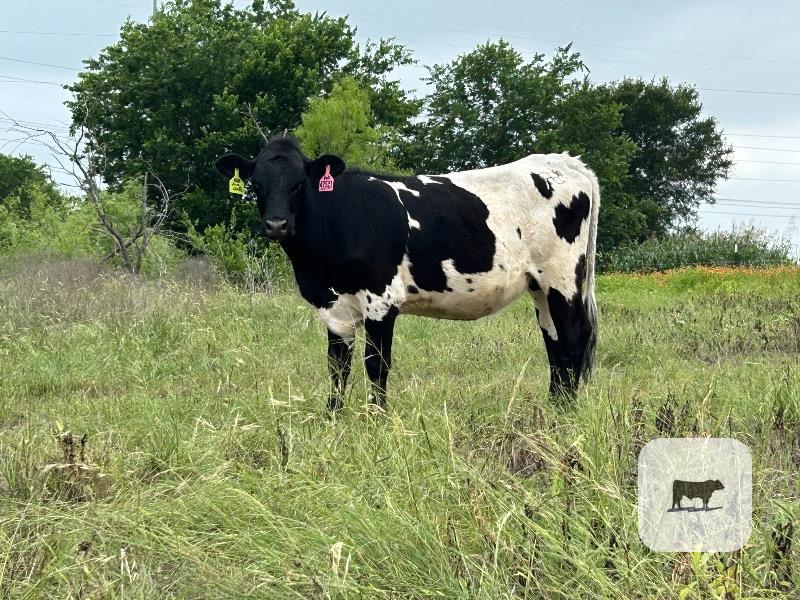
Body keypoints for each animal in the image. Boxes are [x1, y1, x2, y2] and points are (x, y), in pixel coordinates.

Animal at [214, 136, 600, 412]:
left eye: (299, 184)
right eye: (256, 185)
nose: (276, 225)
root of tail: (562, 161)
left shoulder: (381, 298)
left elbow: (376, 364)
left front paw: (376, 419)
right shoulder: (334, 307)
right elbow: (337, 367)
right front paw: (333, 418)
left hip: (562, 278)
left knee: (573, 338)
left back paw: (567, 414)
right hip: (540, 286)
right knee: (554, 343)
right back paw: (553, 409)